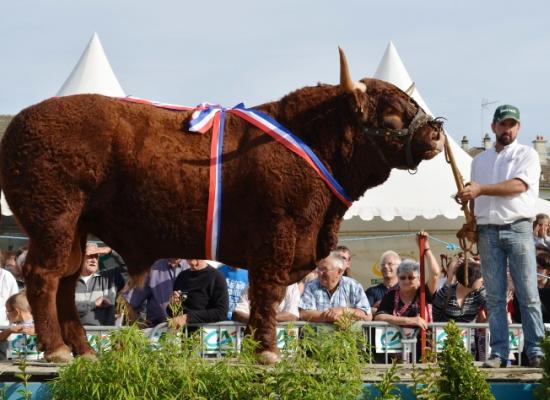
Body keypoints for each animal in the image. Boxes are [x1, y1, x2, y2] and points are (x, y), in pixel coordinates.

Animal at [0, 49, 444, 362]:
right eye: (390, 117)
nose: (437, 132)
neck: (311, 139)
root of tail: (22, 122)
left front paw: (258, 348)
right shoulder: (277, 237)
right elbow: (266, 292)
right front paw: (268, 352)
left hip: (75, 229)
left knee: (66, 281)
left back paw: (85, 352)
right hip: (55, 223)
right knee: (44, 277)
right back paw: (58, 350)